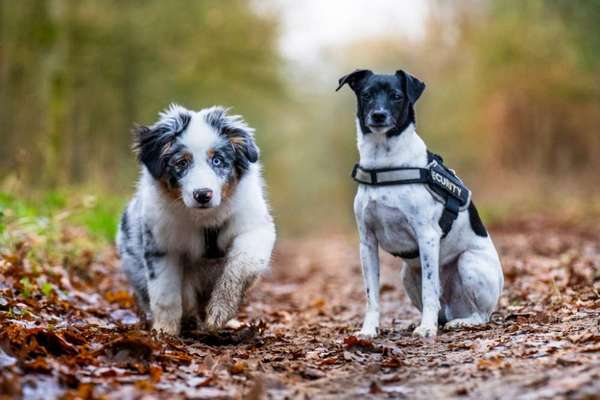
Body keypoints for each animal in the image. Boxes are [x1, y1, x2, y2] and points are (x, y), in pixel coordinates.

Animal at [116, 103, 276, 334]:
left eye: (217, 160)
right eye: (181, 163)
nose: (203, 194)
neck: (205, 219)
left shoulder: (255, 227)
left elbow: (242, 264)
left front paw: (220, 311)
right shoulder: (162, 246)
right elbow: (166, 294)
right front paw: (164, 332)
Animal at [338, 69, 502, 338]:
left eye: (396, 96)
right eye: (366, 95)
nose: (378, 115)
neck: (385, 162)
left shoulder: (427, 236)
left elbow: (429, 289)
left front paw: (426, 328)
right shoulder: (367, 242)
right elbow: (372, 296)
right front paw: (369, 330)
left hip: (469, 263)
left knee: (480, 315)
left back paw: (460, 322)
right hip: (407, 274)